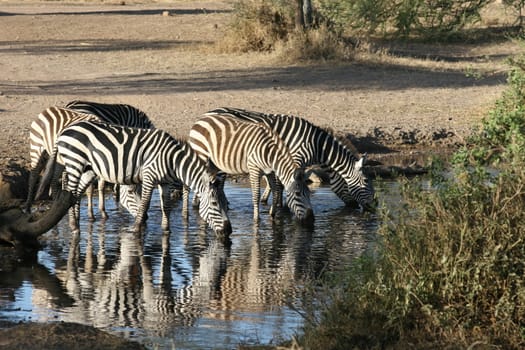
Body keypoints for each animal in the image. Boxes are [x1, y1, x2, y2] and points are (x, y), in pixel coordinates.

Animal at [25, 103, 154, 219]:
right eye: (132, 192)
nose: (145, 216)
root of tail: (49, 109)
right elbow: (89, 189)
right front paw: (91, 215)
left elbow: (101, 186)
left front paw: (103, 212)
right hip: (36, 148)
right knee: (33, 176)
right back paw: (28, 207)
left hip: (59, 159)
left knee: (53, 179)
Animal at [36, 119, 231, 235]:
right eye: (215, 203)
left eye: (225, 204)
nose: (229, 231)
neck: (172, 160)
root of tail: (64, 130)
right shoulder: (149, 176)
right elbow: (144, 204)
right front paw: (136, 229)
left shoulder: (164, 183)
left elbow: (166, 206)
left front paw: (166, 230)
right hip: (75, 162)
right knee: (69, 190)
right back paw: (74, 225)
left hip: (89, 168)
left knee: (75, 194)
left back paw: (76, 222)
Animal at [206, 106, 376, 211]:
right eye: (366, 181)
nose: (374, 206)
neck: (317, 145)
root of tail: (209, 112)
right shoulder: (294, 157)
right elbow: (283, 184)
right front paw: (284, 207)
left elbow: (282, 183)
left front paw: (278, 204)